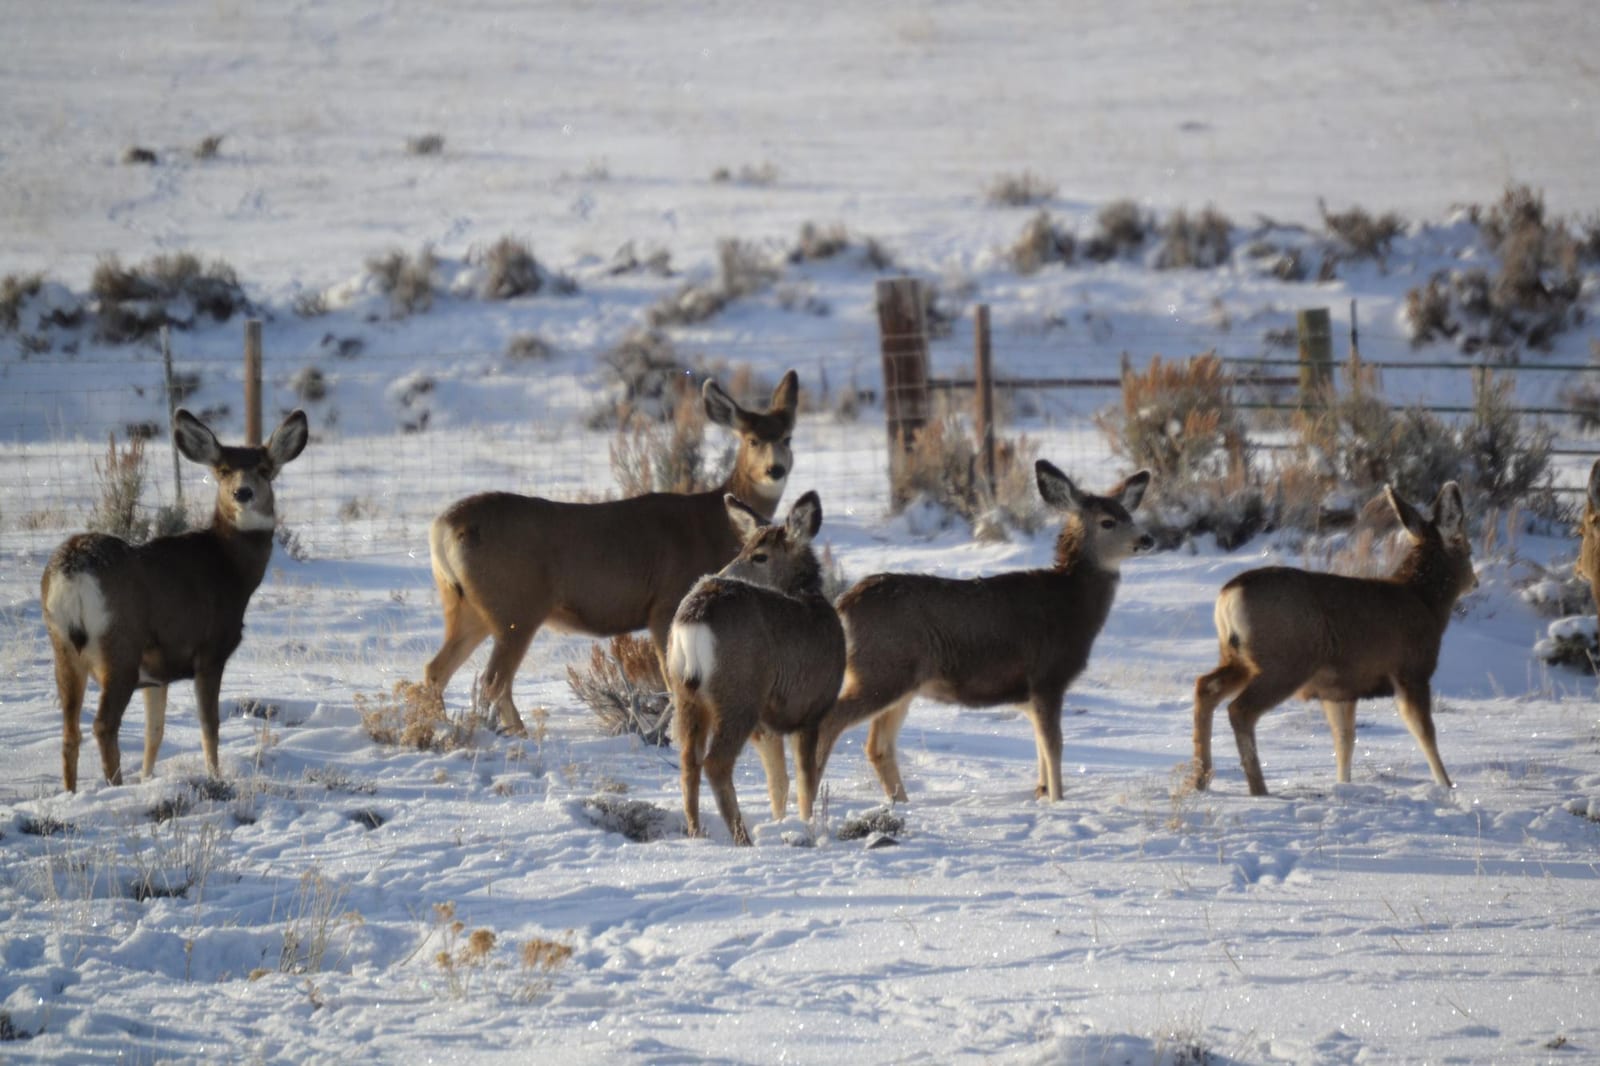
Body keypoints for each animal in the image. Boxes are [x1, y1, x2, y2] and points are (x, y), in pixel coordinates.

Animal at [41, 408, 309, 793]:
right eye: (222, 470)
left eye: (263, 468)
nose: (242, 493)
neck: (231, 567)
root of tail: (73, 568)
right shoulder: (209, 651)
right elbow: (209, 725)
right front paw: (215, 775)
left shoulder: (157, 673)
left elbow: (155, 733)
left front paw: (148, 778)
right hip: (119, 645)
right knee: (103, 725)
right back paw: (114, 787)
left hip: (62, 647)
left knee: (70, 731)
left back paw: (72, 793)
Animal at [422, 370, 799, 738]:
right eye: (752, 439)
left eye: (787, 438)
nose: (775, 470)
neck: (714, 524)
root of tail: (443, 526)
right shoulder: (666, 603)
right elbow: (673, 682)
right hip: (516, 605)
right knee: (494, 680)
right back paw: (519, 735)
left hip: (465, 604)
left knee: (436, 669)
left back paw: (437, 728)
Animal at [665, 490, 845, 845]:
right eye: (743, 549)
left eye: (759, 556)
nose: (722, 572)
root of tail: (694, 618)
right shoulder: (812, 710)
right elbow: (806, 781)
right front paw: (808, 824)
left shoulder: (768, 724)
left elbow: (778, 781)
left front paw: (781, 822)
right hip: (740, 692)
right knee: (716, 763)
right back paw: (741, 837)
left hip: (686, 693)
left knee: (688, 761)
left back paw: (697, 832)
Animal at [811, 461, 1153, 805]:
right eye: (1107, 522)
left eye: (1129, 515)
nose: (1147, 539)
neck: (1071, 604)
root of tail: (843, 604)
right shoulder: (1047, 677)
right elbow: (1054, 746)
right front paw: (1058, 802)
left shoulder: (1029, 695)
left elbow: (1041, 752)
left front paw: (1042, 796)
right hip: (881, 670)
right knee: (831, 722)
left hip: (899, 681)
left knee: (877, 746)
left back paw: (902, 805)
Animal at [1191, 481, 1477, 797]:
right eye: (1468, 548)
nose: (1475, 581)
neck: (1426, 602)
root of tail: (1228, 595)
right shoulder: (1411, 671)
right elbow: (1424, 732)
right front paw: (1447, 786)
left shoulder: (1339, 689)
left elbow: (1344, 740)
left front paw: (1344, 785)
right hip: (1286, 660)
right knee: (1240, 709)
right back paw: (1258, 789)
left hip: (1238, 657)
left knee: (1205, 686)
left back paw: (1200, 779)